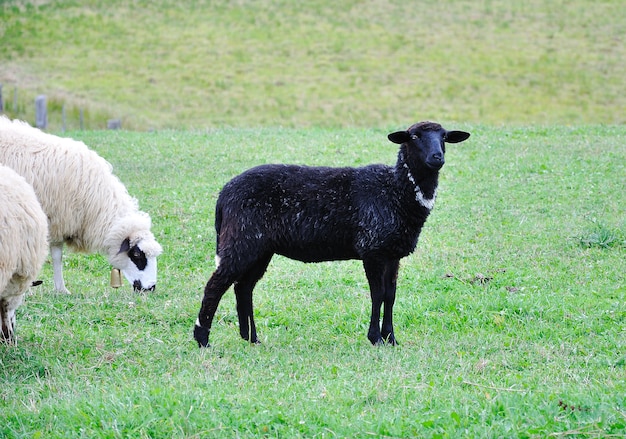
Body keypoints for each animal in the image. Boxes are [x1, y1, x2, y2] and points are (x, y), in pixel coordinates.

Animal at [0, 115, 163, 294]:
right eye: (137, 255)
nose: (151, 287)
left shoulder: (58, 221)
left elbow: (55, 255)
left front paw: (59, 288)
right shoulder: (54, 219)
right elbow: (56, 255)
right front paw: (58, 288)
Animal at [195, 120, 468, 348]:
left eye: (444, 136)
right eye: (413, 136)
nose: (437, 157)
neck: (396, 192)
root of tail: (224, 194)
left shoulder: (392, 253)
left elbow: (390, 296)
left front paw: (391, 338)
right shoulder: (372, 249)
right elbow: (377, 294)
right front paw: (375, 338)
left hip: (260, 248)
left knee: (243, 288)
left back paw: (251, 338)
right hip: (241, 240)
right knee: (216, 285)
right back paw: (203, 339)